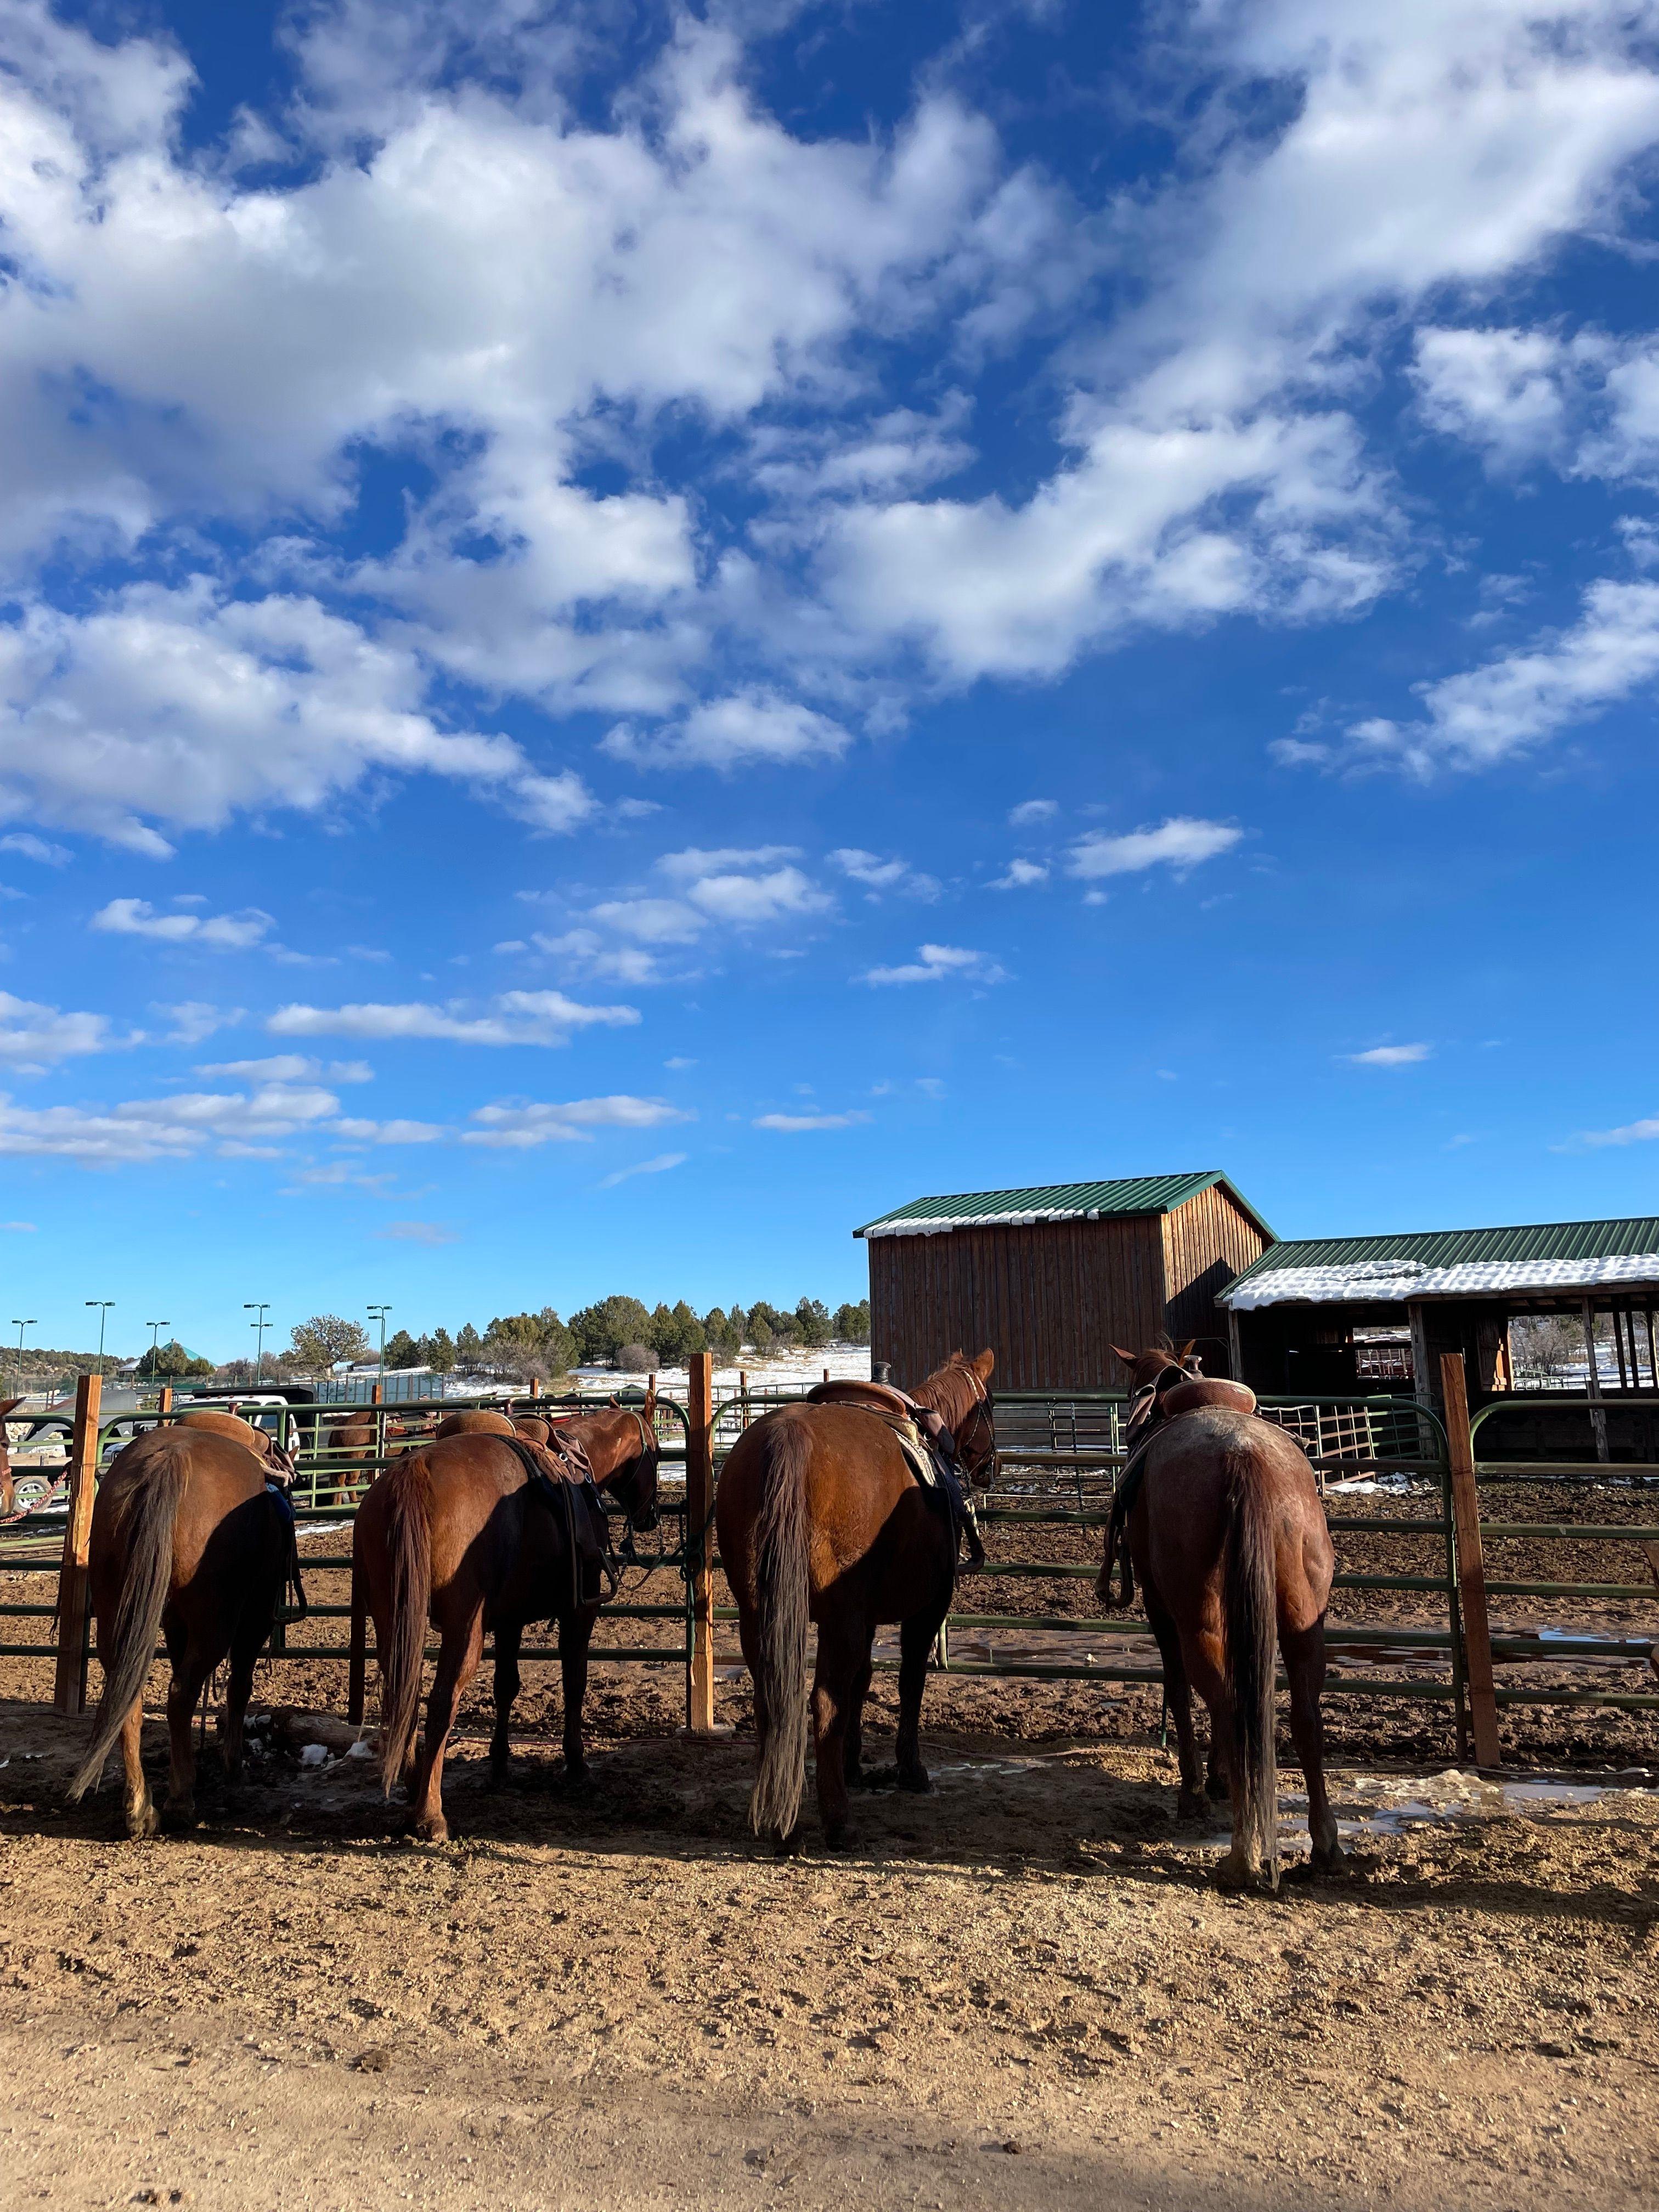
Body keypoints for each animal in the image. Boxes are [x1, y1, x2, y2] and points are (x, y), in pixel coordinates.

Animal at [66, 1424, 290, 1840]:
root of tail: (168, 1463)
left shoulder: (174, 1624)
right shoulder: (254, 1619)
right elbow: (240, 1687)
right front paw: (234, 1770)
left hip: (116, 1616)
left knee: (130, 1696)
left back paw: (139, 1808)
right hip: (216, 1623)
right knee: (181, 1693)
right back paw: (180, 1801)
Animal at [358, 1389, 663, 1840]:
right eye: (656, 1454)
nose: (650, 1517)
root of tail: (414, 1472)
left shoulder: (508, 1621)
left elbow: (506, 1687)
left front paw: (500, 1764)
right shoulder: (579, 1612)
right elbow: (575, 1681)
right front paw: (577, 1765)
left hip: (392, 1621)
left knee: (404, 1694)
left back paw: (414, 1785)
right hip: (463, 1627)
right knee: (442, 1701)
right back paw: (429, 1814)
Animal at [716, 1345, 1000, 1849]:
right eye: (988, 1405)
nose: (993, 1465)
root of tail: (788, 1437)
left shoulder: (864, 1617)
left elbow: (861, 1683)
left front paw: (852, 1764)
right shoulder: (927, 1608)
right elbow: (909, 1682)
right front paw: (911, 1770)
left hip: (757, 1614)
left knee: (772, 1697)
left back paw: (774, 1813)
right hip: (839, 1617)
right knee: (824, 1700)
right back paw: (838, 1822)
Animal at [1097, 1336, 1345, 1893]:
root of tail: (1243, 1456)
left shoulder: (1162, 1613)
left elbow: (1178, 1690)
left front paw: (1196, 1788)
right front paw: (1221, 1777)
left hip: (1197, 1622)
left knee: (1226, 1701)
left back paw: (1243, 1856)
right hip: (1303, 1624)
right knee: (1303, 1716)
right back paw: (1324, 1846)